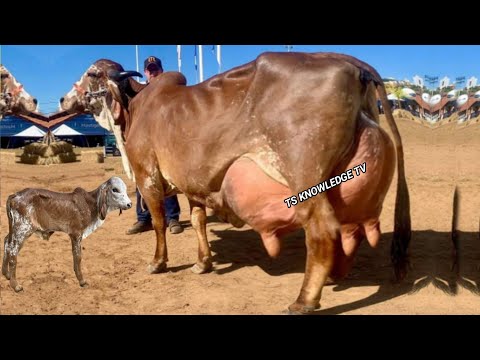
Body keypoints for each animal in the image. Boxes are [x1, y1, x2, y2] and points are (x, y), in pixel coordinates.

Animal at [59, 52, 412, 314]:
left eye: (92, 73)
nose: (63, 98)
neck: (134, 108)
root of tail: (352, 64)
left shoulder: (148, 178)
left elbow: (159, 224)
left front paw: (158, 263)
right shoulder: (194, 182)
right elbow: (198, 221)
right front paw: (202, 263)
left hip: (304, 176)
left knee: (324, 231)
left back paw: (304, 300)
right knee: (350, 228)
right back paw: (334, 276)